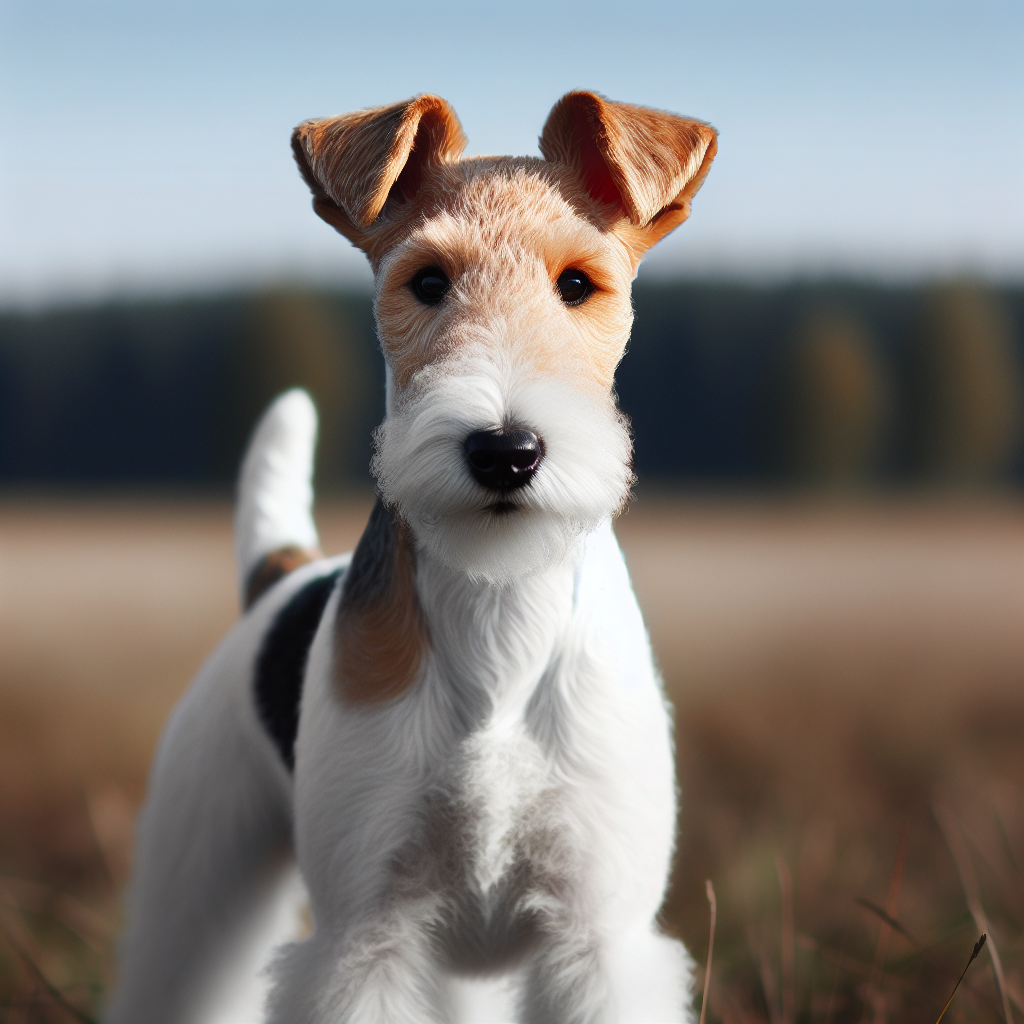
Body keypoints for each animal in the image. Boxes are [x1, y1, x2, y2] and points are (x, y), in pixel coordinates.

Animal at [103, 90, 712, 1024]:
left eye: (578, 284)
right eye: (427, 281)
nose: (505, 452)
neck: (498, 605)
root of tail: (282, 572)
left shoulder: (598, 930)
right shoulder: (369, 932)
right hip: (200, 868)